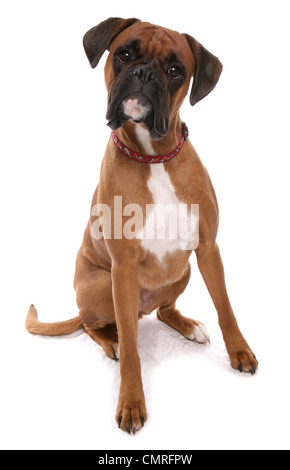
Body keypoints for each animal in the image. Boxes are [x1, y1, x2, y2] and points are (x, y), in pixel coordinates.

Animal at [26, 17, 258, 434]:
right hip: (103, 284)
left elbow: (226, 307)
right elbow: (135, 351)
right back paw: (113, 342)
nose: (144, 73)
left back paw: (186, 325)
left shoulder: (208, 249)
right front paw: (132, 400)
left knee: (163, 312)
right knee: (98, 325)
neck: (154, 158)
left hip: (182, 272)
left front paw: (240, 352)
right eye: (124, 54)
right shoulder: (123, 267)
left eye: (175, 70)